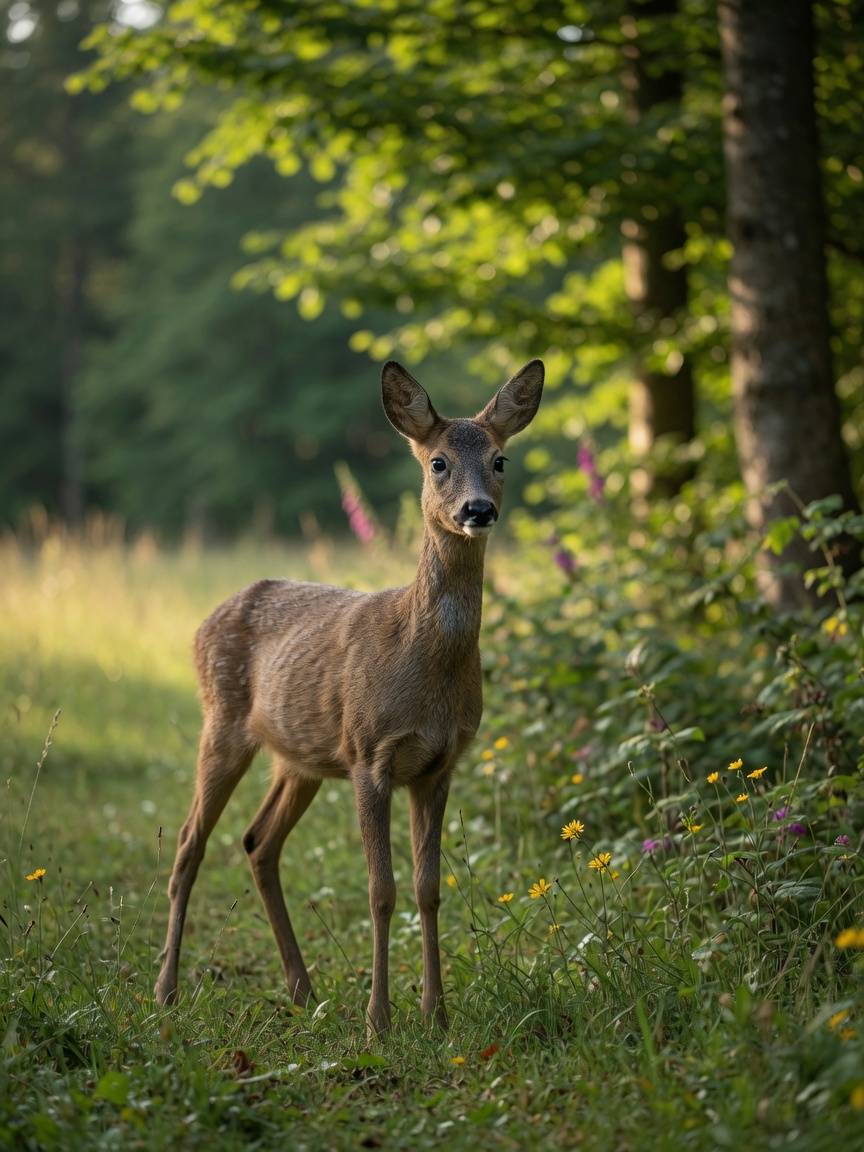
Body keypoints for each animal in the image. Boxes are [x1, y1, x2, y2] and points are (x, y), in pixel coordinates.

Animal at [153, 357, 544, 1034]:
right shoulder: (370, 753)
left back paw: (301, 988)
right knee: (187, 843)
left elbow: (428, 888)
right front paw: (379, 1021)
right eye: (438, 462)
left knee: (257, 842)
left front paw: (436, 1015)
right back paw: (167, 991)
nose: (478, 510)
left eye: (500, 459)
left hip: (301, 758)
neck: (424, 667)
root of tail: (203, 624)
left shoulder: (439, 764)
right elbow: (381, 891)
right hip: (222, 723)